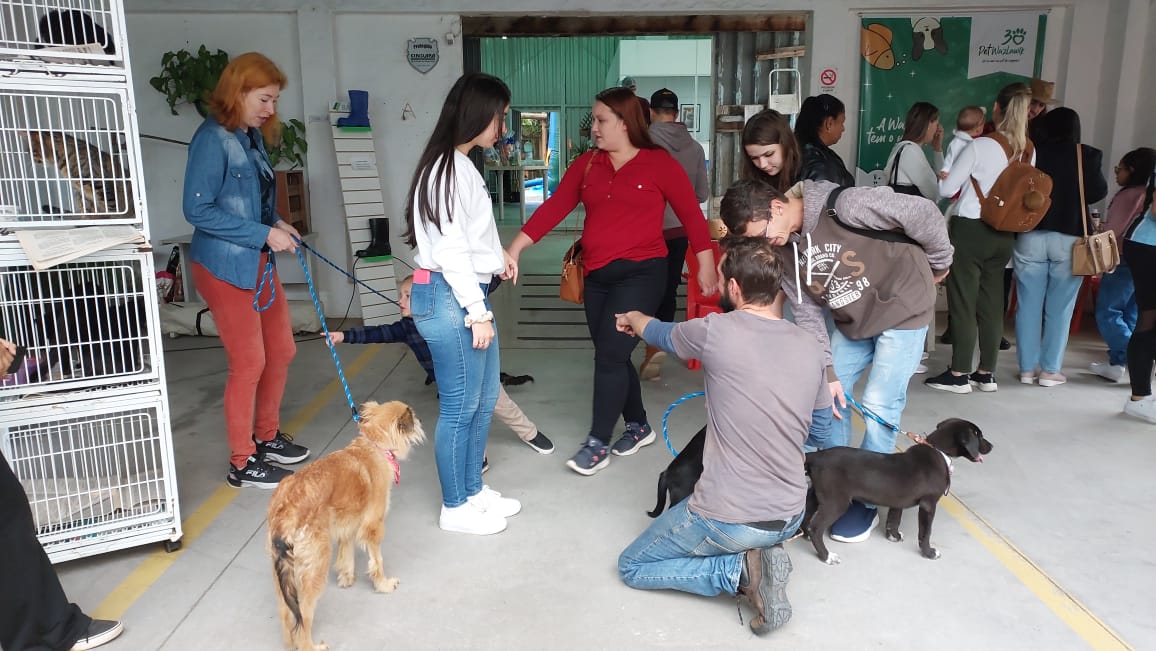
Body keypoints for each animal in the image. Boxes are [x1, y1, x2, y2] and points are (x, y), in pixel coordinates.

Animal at [265, 400, 425, 647]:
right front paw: (383, 584)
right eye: (413, 417)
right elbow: (377, 561)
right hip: (315, 568)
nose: (420, 419)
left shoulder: (348, 525)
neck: (374, 445)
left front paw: (347, 577)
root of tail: (285, 512)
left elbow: (347, 553)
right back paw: (311, 646)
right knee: (303, 617)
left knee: (287, 613)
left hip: (282, 574)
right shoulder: (372, 527)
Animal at [804, 418, 994, 566]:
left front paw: (893, 536)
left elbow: (894, 519)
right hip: (836, 502)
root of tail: (817, 457)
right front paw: (929, 552)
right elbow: (925, 532)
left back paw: (805, 536)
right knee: (816, 527)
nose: (992, 446)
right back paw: (826, 556)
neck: (938, 450)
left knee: (807, 517)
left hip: (817, 496)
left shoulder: (898, 500)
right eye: (979, 435)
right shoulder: (928, 505)